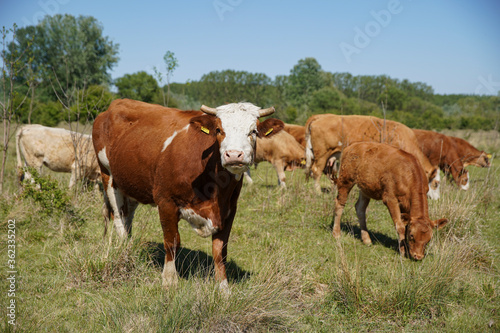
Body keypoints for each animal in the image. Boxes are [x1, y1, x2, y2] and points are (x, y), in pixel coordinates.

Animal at [92, 98, 284, 288]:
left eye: (253, 131)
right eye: (219, 130)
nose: (234, 155)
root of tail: (114, 105)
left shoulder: (229, 209)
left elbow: (220, 250)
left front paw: (223, 288)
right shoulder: (166, 202)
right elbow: (172, 242)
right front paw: (169, 280)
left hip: (131, 183)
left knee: (128, 216)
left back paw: (130, 246)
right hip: (108, 175)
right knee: (118, 217)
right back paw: (124, 248)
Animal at [302, 113, 440, 198]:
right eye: (436, 183)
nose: (437, 199)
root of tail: (320, 117)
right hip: (322, 153)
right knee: (316, 171)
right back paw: (318, 192)